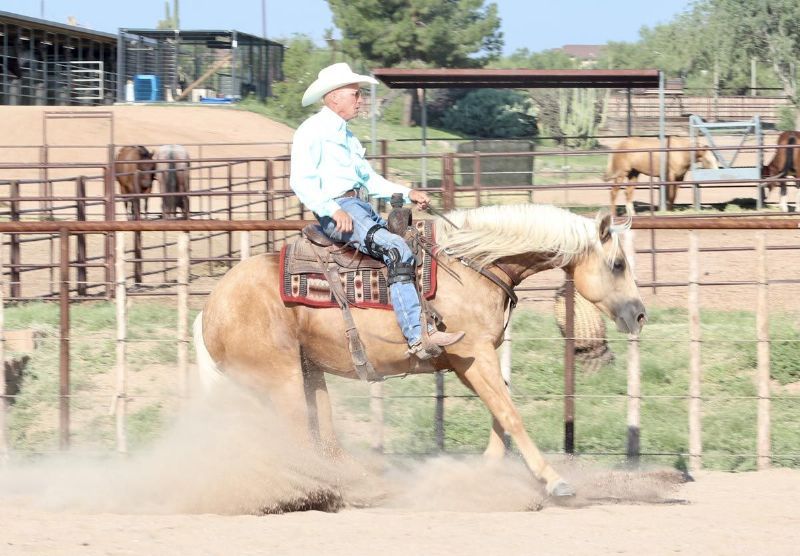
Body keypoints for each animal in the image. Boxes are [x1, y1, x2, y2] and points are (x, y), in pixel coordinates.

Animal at [193, 204, 647, 498]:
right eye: (618, 264)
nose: (639, 314)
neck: (471, 265)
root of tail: (211, 307)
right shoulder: (473, 355)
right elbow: (511, 414)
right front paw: (553, 480)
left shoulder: (471, 360)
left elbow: (501, 411)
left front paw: (484, 473)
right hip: (281, 380)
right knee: (300, 441)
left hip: (309, 375)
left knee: (324, 441)